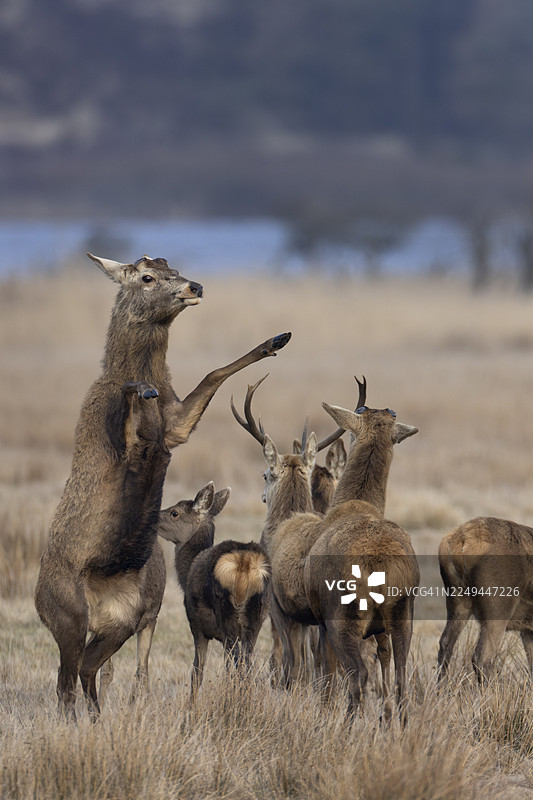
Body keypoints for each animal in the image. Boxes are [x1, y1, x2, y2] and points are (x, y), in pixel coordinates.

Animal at [158, 482, 270, 700]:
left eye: (175, 512)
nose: (154, 517)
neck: (186, 573)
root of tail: (244, 563)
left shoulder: (196, 625)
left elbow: (196, 673)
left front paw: (191, 705)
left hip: (226, 614)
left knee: (239, 664)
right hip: (256, 615)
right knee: (247, 663)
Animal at [267, 378, 419, 719]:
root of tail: (382, 569)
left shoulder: (322, 619)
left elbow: (325, 672)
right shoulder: (380, 629)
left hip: (344, 620)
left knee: (356, 674)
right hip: (403, 615)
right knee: (402, 677)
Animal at [437, 517, 533, 683]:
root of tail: (460, 542)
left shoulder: (527, 630)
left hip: (457, 600)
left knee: (445, 644)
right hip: (498, 606)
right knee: (481, 657)